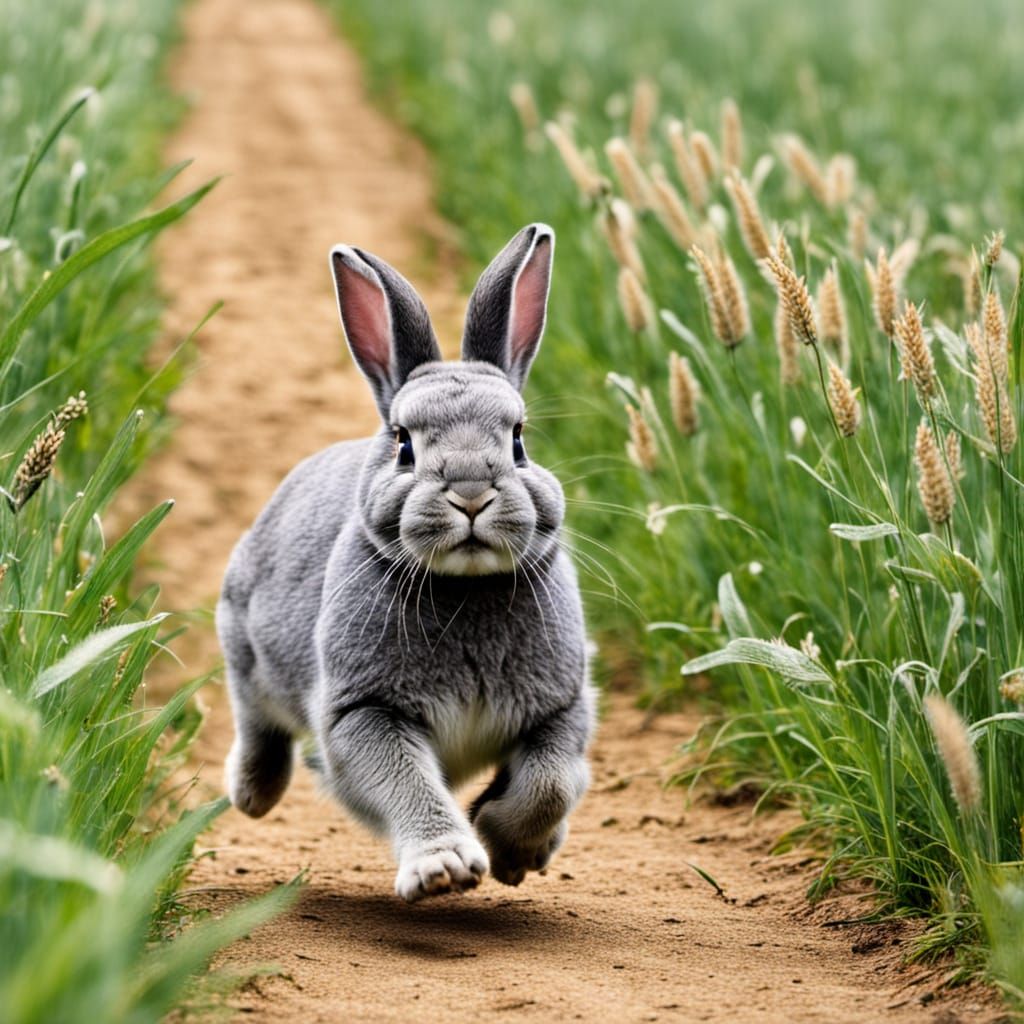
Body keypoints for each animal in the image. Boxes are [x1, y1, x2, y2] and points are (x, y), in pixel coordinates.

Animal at [217, 223, 595, 902]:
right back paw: (252, 793)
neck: (465, 587)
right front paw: (445, 869)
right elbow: (406, 781)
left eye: (518, 440)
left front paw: (510, 847)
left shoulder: (563, 708)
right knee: (256, 721)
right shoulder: (364, 712)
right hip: (241, 637)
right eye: (404, 445)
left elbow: (549, 784)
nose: (470, 494)